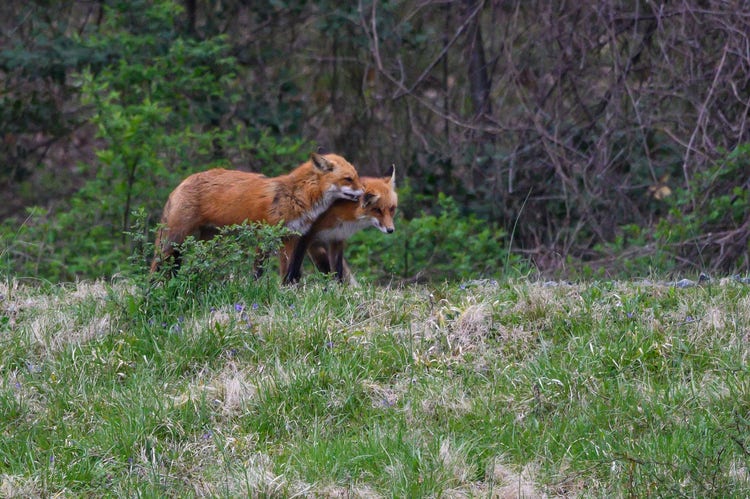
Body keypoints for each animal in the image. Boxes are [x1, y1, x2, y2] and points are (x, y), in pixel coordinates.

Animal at [150, 152, 364, 278]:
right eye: (348, 179)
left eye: (356, 176)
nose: (365, 193)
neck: (296, 195)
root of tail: (180, 184)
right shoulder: (266, 234)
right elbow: (258, 270)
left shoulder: (290, 238)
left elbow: (288, 272)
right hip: (174, 240)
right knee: (155, 265)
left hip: (208, 240)